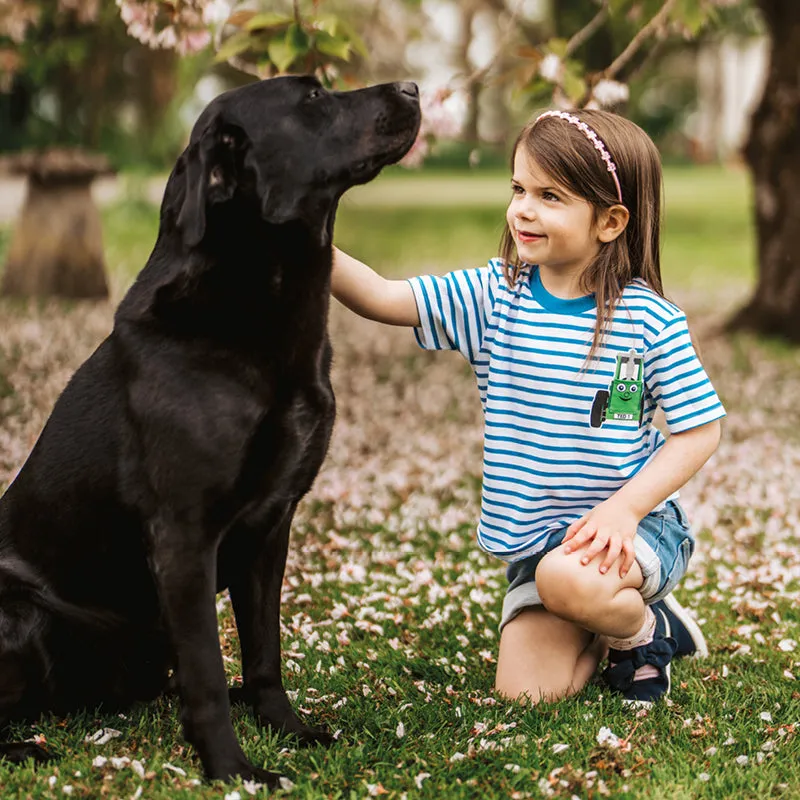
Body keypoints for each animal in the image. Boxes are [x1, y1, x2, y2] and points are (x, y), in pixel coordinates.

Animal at [0, 75, 422, 780]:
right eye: (313, 97)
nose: (414, 87)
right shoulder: (183, 536)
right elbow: (206, 671)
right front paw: (234, 770)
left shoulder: (272, 525)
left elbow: (263, 654)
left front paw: (287, 730)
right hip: (21, 610)